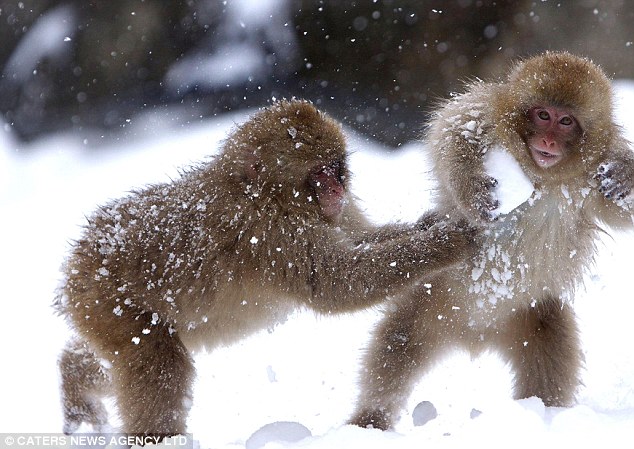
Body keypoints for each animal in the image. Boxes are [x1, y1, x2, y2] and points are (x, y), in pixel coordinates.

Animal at [348, 50, 632, 428]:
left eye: (566, 121)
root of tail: (476, 335)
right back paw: (371, 419)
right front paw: (475, 193)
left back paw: (543, 415)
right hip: (431, 301)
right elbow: (451, 130)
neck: (539, 175)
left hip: (531, 315)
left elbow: (622, 209)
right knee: (398, 345)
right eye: (543, 115)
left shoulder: (594, 177)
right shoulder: (484, 112)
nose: (548, 141)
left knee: (552, 353)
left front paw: (626, 176)